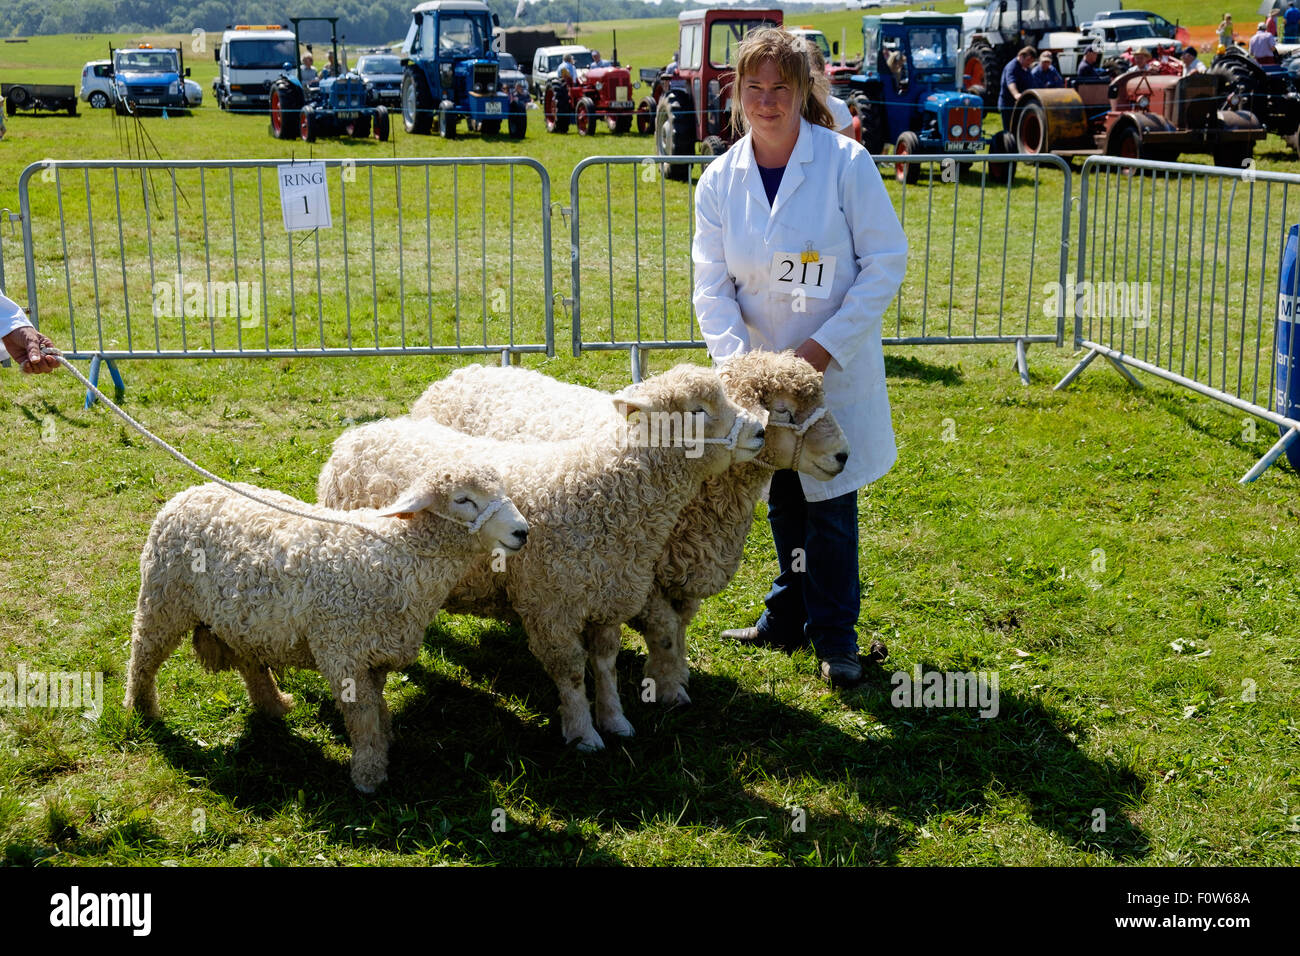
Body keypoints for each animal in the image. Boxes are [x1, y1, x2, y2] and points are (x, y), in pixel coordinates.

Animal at [122, 468, 527, 796]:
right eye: (463, 499)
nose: (522, 531)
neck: (398, 555)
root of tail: (187, 493)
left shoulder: (373, 653)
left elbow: (377, 706)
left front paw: (385, 740)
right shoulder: (343, 652)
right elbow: (361, 714)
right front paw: (368, 773)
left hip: (243, 619)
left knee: (250, 664)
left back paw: (274, 705)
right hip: (163, 598)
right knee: (143, 655)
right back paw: (141, 708)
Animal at [318, 361, 764, 749]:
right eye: (698, 410)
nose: (760, 430)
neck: (602, 490)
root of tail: (358, 435)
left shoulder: (607, 598)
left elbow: (605, 664)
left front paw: (615, 720)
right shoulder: (552, 606)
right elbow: (571, 672)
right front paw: (583, 733)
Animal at [408, 351, 852, 702]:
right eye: (783, 410)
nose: (843, 456)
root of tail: (461, 373)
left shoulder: (681, 571)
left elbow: (680, 627)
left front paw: (676, 674)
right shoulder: (642, 577)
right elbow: (666, 629)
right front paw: (668, 687)